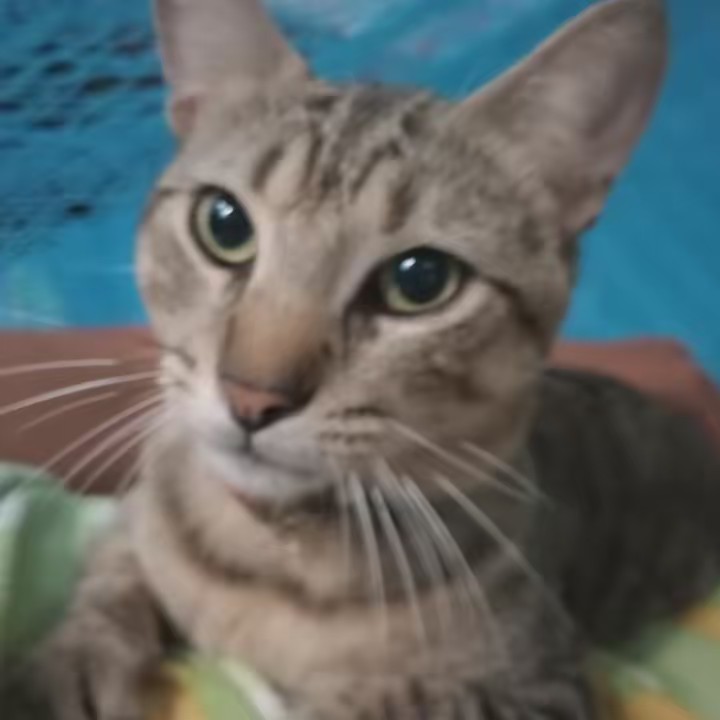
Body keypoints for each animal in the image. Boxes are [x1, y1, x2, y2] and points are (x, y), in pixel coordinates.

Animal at [8, 0, 720, 718]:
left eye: (421, 279)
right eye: (224, 224)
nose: (251, 396)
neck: (270, 550)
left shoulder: (539, 687)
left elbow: (367, 704)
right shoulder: (138, 520)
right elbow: (113, 574)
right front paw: (71, 662)